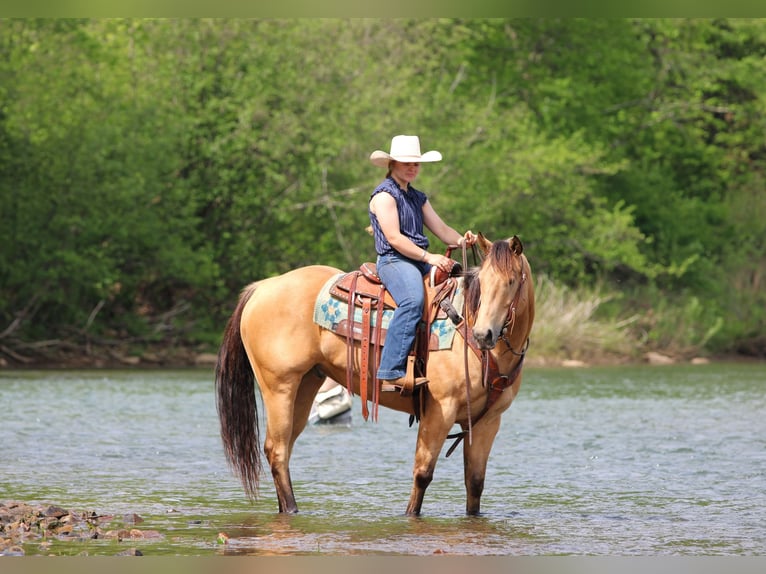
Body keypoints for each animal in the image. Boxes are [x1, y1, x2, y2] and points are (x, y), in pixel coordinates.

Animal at [215, 233, 535, 516]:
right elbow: (422, 474)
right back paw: (293, 510)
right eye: (481, 281)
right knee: (277, 450)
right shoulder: (439, 411)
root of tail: (261, 287)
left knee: (282, 451)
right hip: (278, 387)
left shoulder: (487, 423)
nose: (483, 334)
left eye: (510, 282)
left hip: (305, 387)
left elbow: (475, 484)